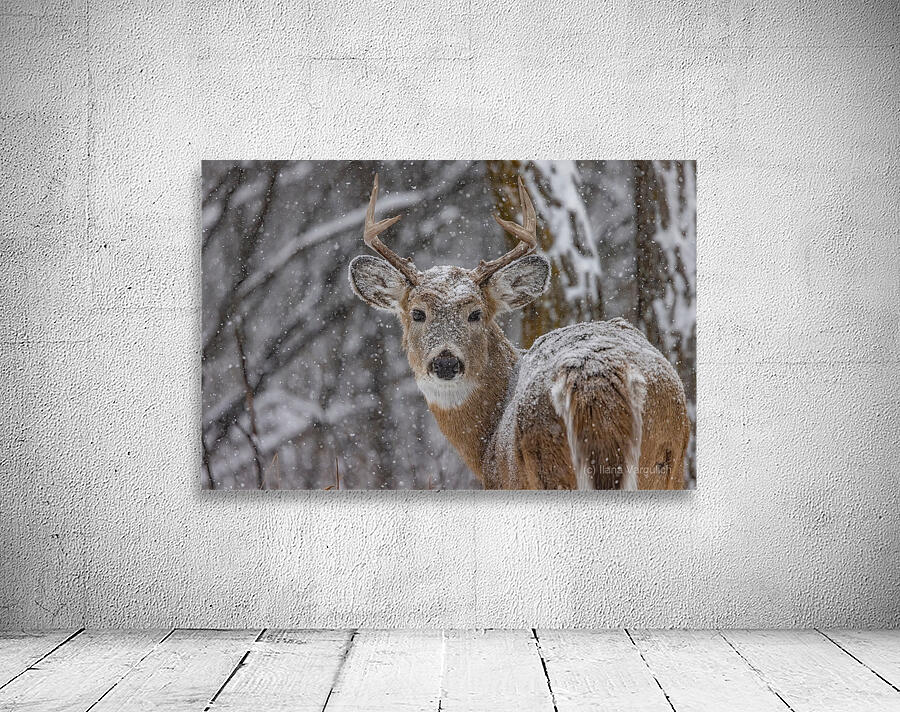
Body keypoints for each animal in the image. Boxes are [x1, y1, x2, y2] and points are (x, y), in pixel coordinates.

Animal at [348, 174, 690, 490]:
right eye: (418, 313)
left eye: (476, 313)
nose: (446, 362)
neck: (486, 437)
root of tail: (595, 378)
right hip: (668, 453)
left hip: (549, 461)